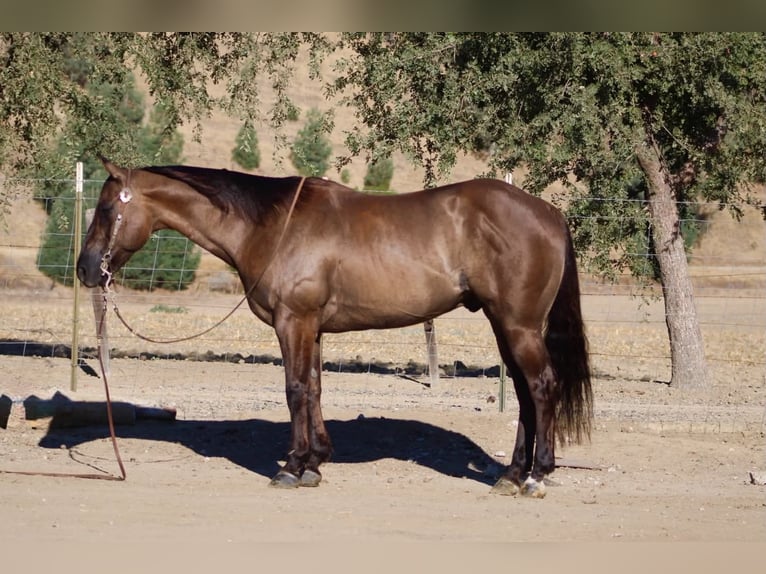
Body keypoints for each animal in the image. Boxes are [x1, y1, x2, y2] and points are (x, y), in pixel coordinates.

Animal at [77, 157, 592, 498]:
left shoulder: (293, 322)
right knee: (525, 394)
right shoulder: (313, 328)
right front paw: (315, 462)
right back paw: (511, 475)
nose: (85, 269)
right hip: (505, 325)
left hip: (518, 326)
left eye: (105, 209)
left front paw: (291, 466)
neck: (270, 225)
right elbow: (315, 388)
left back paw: (535, 476)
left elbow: (295, 389)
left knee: (542, 387)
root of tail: (548, 212)